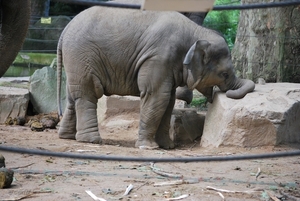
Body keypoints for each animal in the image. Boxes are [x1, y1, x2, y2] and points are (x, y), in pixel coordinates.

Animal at [55, 5, 253, 149]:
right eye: (224, 74)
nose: (225, 94)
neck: (196, 33)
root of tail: (64, 31)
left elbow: (169, 101)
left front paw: (168, 146)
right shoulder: (159, 57)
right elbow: (157, 96)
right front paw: (148, 147)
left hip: (75, 61)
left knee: (73, 95)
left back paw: (67, 136)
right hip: (82, 55)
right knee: (88, 93)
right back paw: (91, 141)